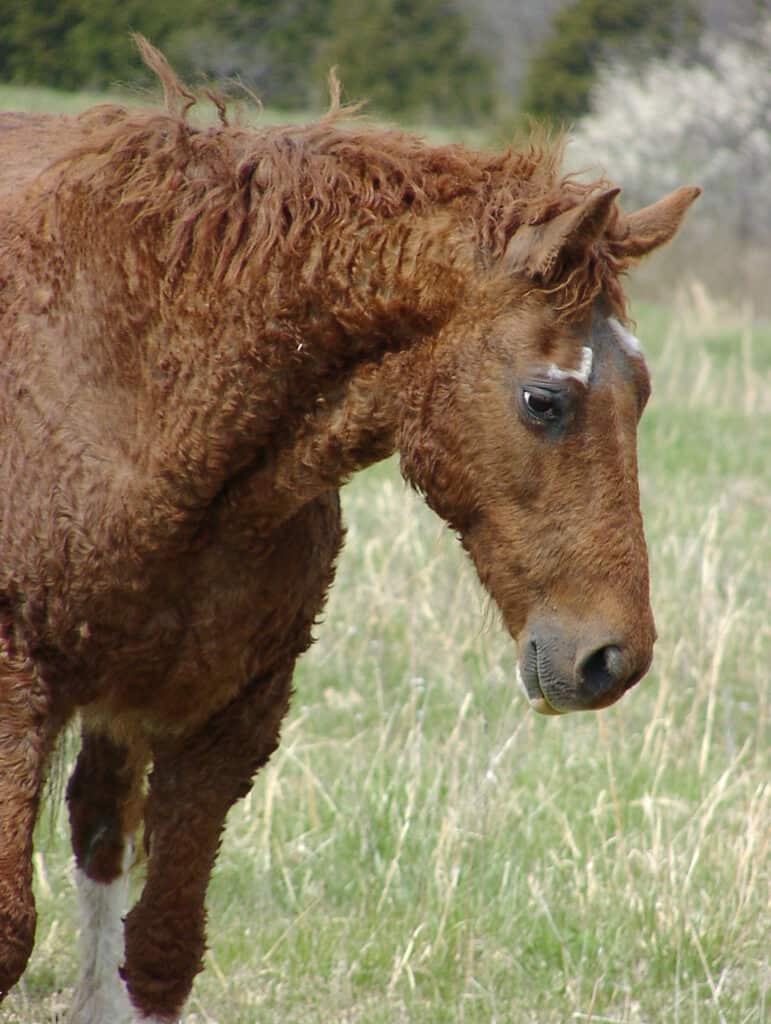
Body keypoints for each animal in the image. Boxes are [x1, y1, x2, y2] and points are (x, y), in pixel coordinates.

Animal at [0, 37, 696, 1024]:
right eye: (543, 400)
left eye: (640, 393)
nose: (611, 659)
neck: (132, 384)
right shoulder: (15, 695)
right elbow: (10, 932)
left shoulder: (228, 720)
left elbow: (162, 949)